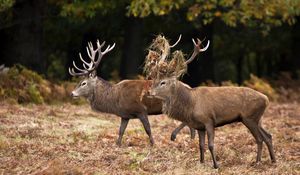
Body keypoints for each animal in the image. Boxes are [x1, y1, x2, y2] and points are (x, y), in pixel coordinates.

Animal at [146, 38, 276, 168]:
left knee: (259, 138)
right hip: (257, 119)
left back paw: (257, 162)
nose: (149, 92)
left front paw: (216, 165)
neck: (190, 103)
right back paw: (273, 160)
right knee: (268, 136)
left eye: (163, 82)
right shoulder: (199, 126)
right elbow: (201, 145)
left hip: (249, 118)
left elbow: (211, 145)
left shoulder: (208, 120)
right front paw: (201, 163)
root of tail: (266, 99)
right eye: (154, 79)